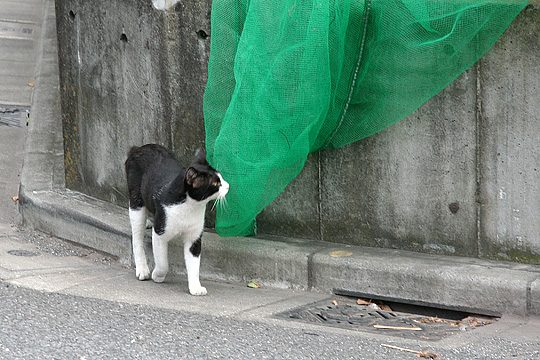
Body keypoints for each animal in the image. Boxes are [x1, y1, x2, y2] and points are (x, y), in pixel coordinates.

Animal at [125, 143, 229, 296]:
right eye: (216, 184)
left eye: (221, 178)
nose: (228, 185)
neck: (190, 207)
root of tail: (138, 148)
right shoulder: (160, 231)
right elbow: (163, 263)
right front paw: (158, 275)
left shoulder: (194, 237)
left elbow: (194, 264)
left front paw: (195, 287)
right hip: (136, 200)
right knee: (137, 237)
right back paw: (142, 269)